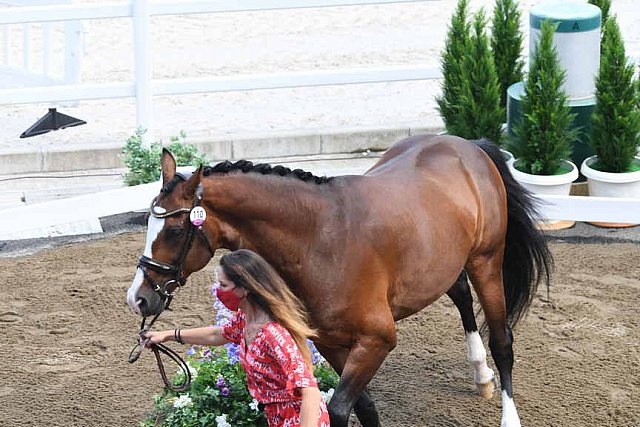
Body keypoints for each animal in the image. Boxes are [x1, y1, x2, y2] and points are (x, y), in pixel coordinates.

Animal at [127, 135, 552, 427]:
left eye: (176, 230)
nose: (139, 299)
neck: (319, 238)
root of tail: (465, 145)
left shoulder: (377, 340)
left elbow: (340, 408)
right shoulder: (329, 341)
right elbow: (363, 406)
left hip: (486, 260)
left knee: (502, 340)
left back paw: (507, 410)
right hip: (445, 262)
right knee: (461, 295)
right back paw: (481, 374)